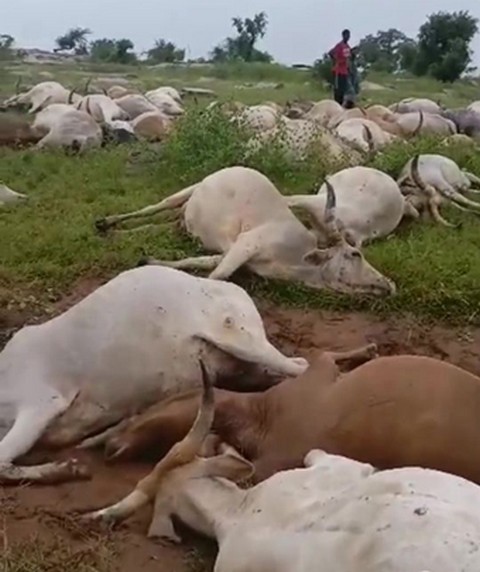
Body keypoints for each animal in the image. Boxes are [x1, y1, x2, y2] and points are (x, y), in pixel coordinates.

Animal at [0, 266, 308, 484]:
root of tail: (230, 288)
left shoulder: (42, 400)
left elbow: (3, 461)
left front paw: (68, 468)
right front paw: (67, 467)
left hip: (241, 338)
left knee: (297, 366)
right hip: (235, 359)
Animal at [86, 342, 480, 484]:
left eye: (143, 409)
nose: (110, 449)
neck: (262, 417)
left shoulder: (315, 381)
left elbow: (322, 355)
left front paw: (368, 349)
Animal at [95, 165, 396, 298]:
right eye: (355, 254)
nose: (390, 285)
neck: (295, 257)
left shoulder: (230, 253)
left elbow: (200, 262)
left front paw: (148, 260)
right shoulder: (246, 244)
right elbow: (218, 276)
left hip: (180, 221)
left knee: (157, 224)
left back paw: (117, 233)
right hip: (185, 192)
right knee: (154, 207)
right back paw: (105, 222)